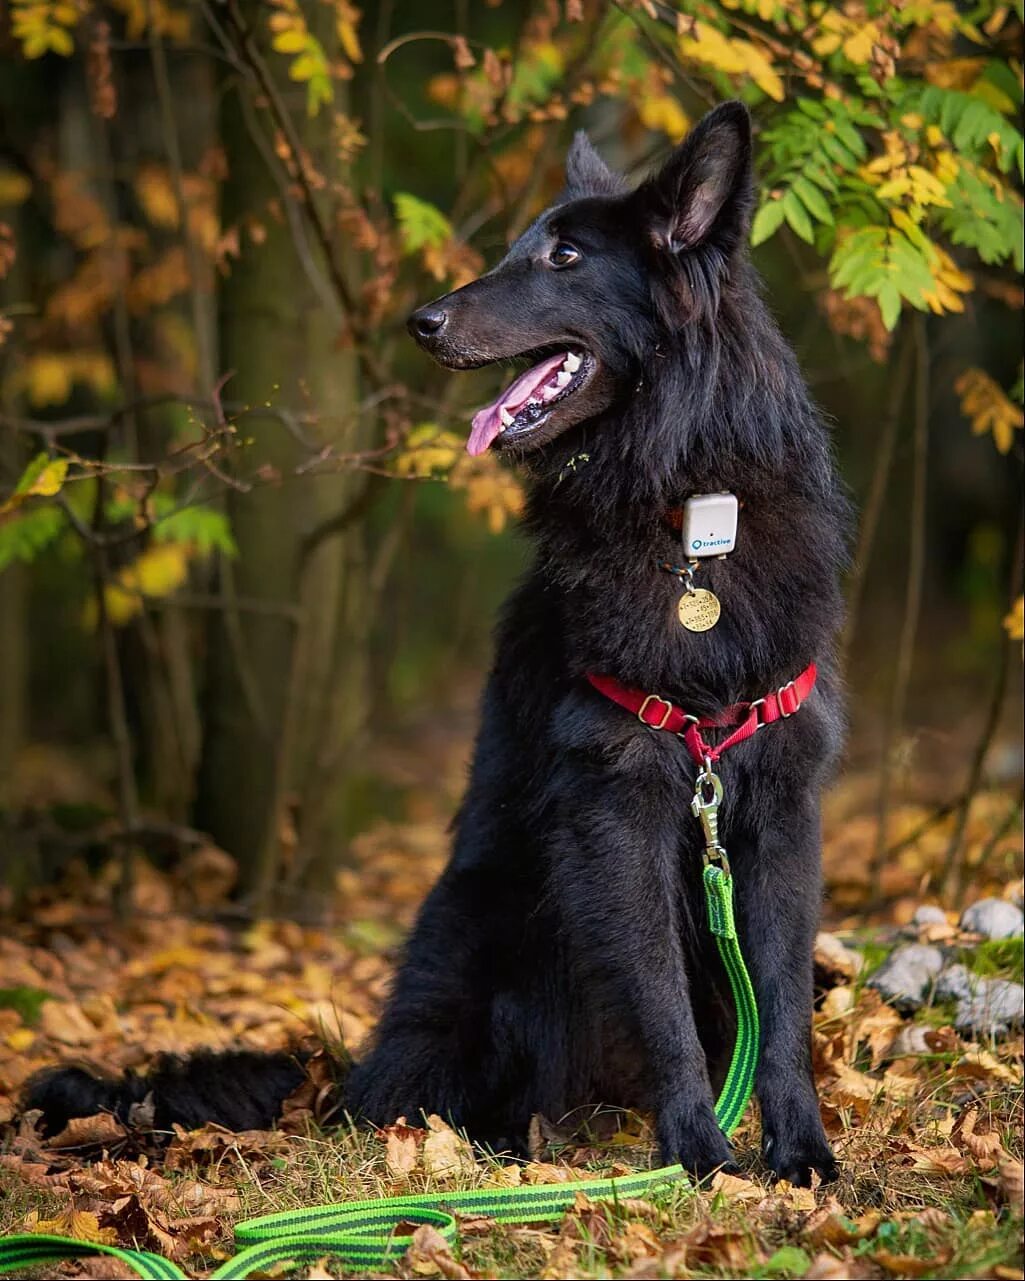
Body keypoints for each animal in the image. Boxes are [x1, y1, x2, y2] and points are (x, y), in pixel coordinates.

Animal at [30, 102, 850, 1188]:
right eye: (516, 246)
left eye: (562, 255)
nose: (419, 322)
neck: (686, 516)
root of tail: (343, 1078)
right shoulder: (618, 805)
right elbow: (660, 998)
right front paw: (698, 1155)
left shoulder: (777, 806)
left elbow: (783, 1001)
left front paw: (799, 1155)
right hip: (487, 933)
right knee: (429, 1093)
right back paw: (493, 1148)